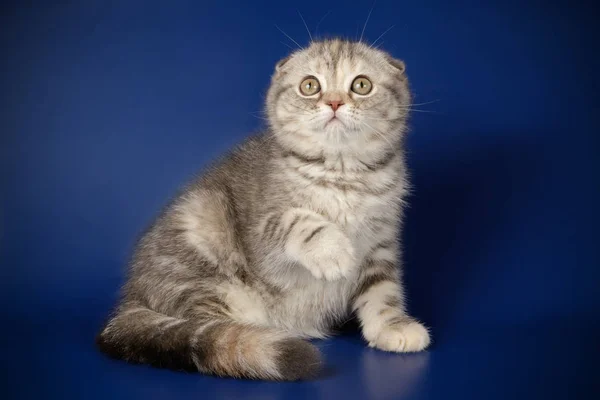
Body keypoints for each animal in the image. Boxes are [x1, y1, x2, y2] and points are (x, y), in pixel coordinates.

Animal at [96, 39, 428, 382]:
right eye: (310, 86)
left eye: (361, 85)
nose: (334, 102)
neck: (341, 176)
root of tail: (132, 295)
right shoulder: (261, 232)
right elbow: (296, 220)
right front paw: (332, 251)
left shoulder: (381, 243)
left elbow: (382, 290)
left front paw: (392, 326)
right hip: (202, 246)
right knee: (204, 329)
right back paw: (248, 337)